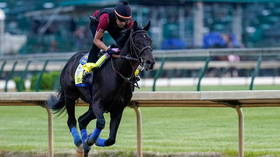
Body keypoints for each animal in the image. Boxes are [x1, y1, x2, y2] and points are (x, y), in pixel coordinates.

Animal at [46, 20, 155, 156]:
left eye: (149, 40)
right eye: (137, 41)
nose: (150, 62)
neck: (118, 73)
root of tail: (70, 61)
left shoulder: (118, 108)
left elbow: (111, 139)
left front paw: (92, 140)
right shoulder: (98, 103)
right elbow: (101, 123)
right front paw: (90, 140)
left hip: (92, 107)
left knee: (82, 120)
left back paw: (85, 143)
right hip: (70, 96)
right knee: (72, 121)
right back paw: (79, 141)